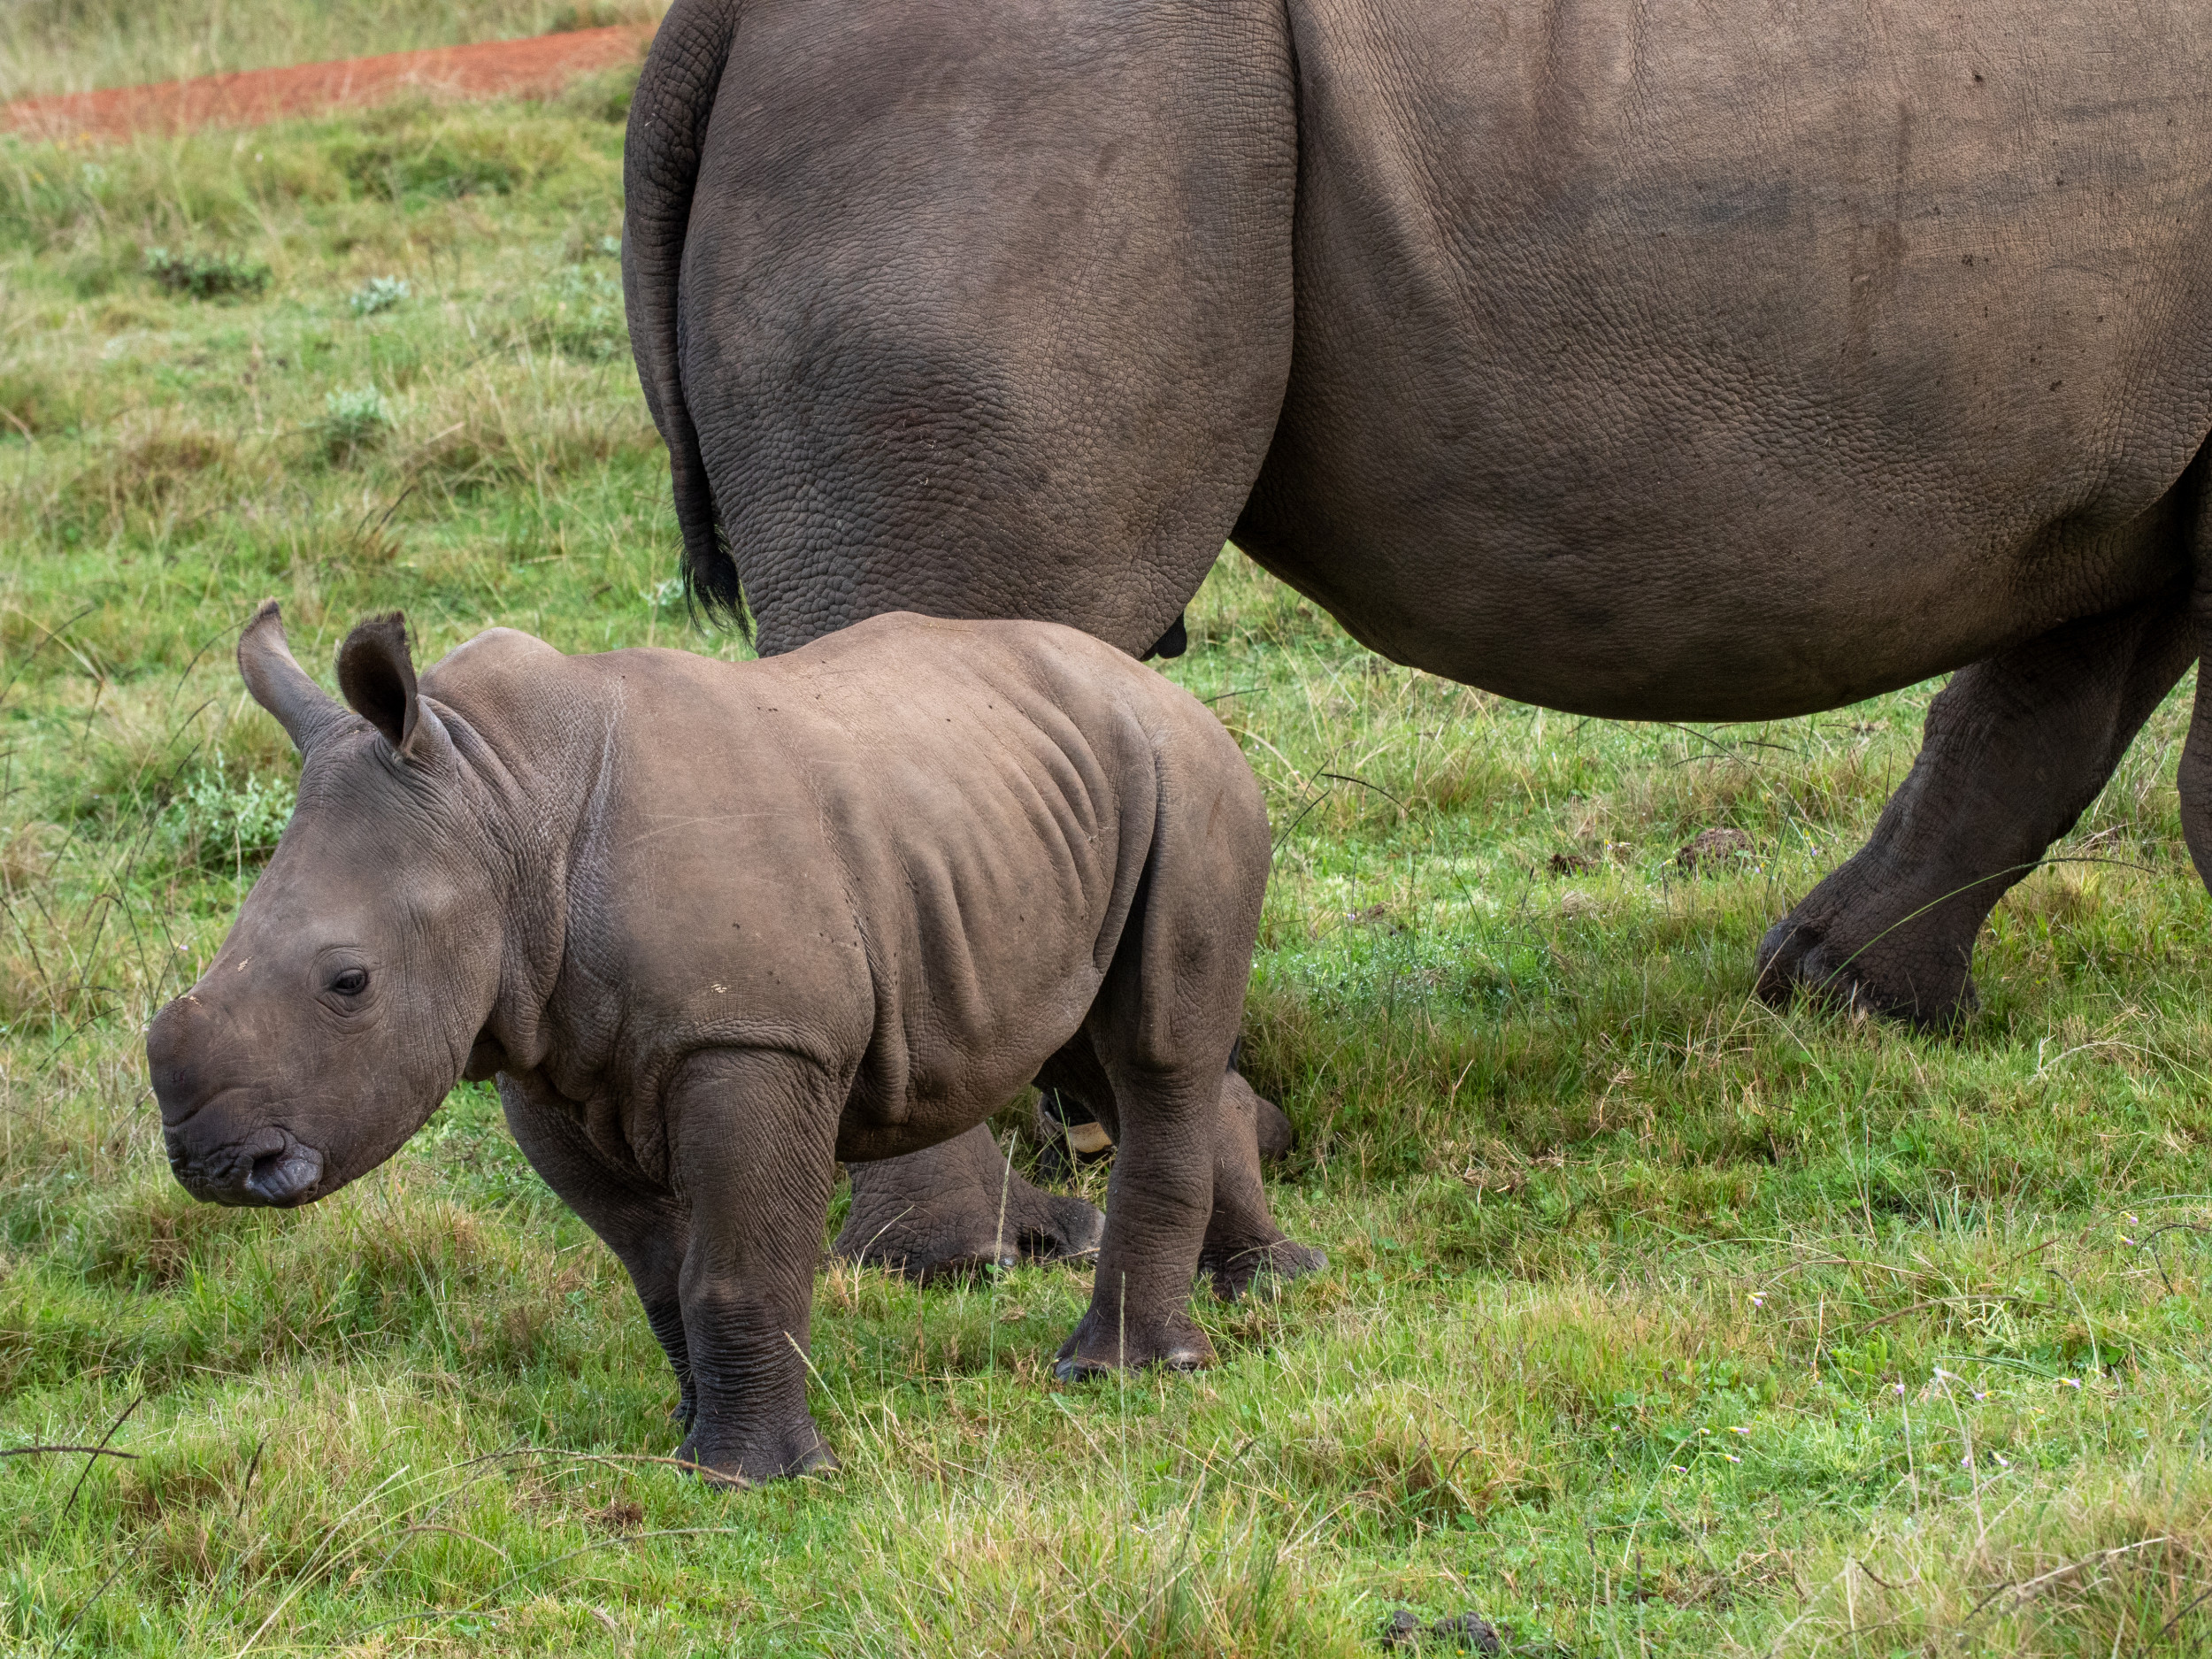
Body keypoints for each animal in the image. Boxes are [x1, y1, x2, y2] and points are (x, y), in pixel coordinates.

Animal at [147, 604, 1322, 1482]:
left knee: (1154, 1050)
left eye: (349, 983)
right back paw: (1263, 1286)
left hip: (1189, 779)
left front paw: (751, 1480)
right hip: (1035, 810)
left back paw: (1119, 1373)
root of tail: (1158, 684)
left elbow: (737, 1265)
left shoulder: (755, 1041)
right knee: (1089, 1045)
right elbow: (660, 1270)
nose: (215, 1167)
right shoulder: (542, 1061)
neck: (496, 796)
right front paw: (685, 1439)